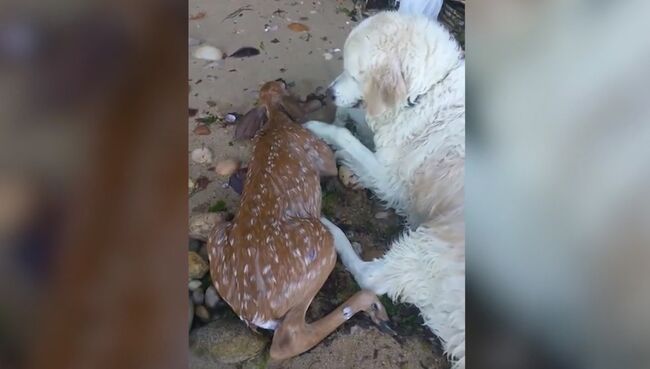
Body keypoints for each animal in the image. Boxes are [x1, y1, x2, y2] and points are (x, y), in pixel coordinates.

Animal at [306, 11, 466, 368]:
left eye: (353, 73)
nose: (328, 93)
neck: (425, 93)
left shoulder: (389, 177)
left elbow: (347, 136)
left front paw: (320, 128)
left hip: (432, 243)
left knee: (371, 278)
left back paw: (330, 229)